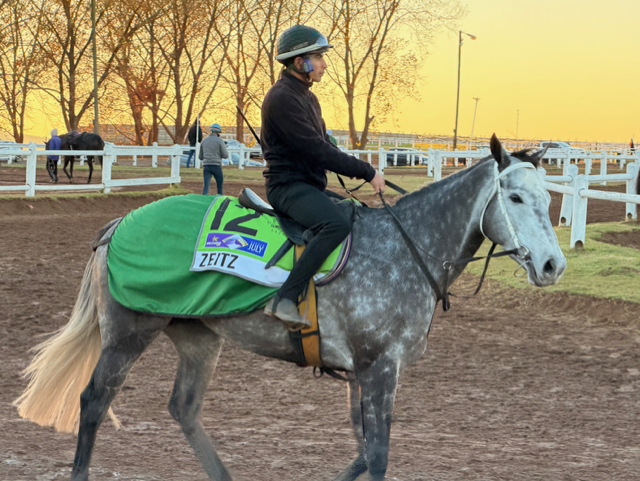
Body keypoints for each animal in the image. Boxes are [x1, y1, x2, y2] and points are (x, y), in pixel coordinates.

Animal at [15, 135, 566, 481]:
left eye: (547, 197)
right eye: (516, 197)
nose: (552, 264)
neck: (405, 248)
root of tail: (120, 223)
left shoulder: (362, 374)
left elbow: (363, 453)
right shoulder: (379, 369)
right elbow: (378, 455)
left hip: (198, 337)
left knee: (183, 408)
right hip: (130, 333)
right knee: (93, 400)